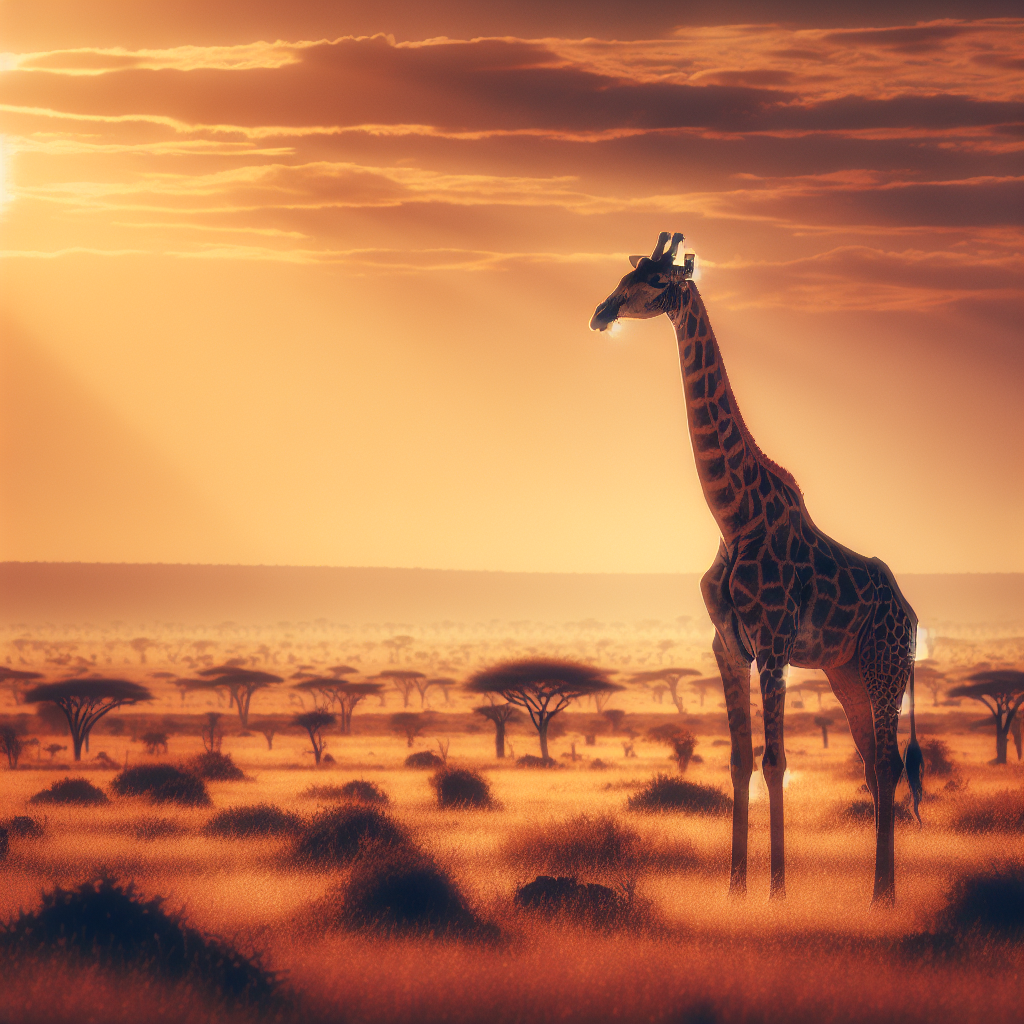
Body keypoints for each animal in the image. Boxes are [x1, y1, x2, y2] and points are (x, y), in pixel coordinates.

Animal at [590, 232, 923, 904]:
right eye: (626, 274)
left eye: (658, 283)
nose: (602, 312)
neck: (733, 516)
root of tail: (911, 614)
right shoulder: (727, 645)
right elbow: (740, 761)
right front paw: (737, 886)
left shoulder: (772, 644)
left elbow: (775, 761)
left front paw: (776, 889)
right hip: (847, 672)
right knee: (873, 761)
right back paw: (879, 891)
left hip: (885, 666)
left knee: (890, 761)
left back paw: (885, 894)